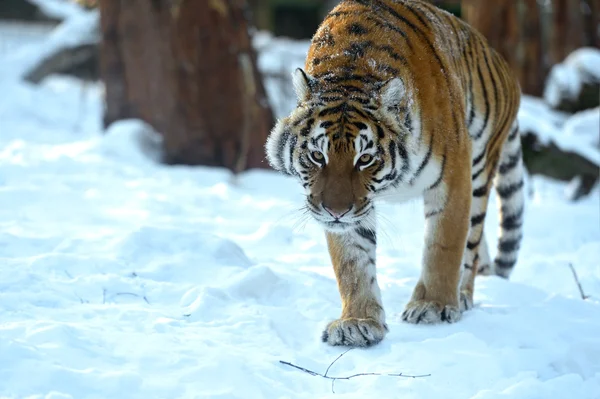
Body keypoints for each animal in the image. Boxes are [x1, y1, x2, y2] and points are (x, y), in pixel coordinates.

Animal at [264, 0, 524, 346]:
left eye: (365, 158)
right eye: (317, 155)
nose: (335, 211)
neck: (349, 68)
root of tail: (500, 62)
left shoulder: (454, 175)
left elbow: (444, 245)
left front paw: (433, 306)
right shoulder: (351, 212)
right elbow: (352, 262)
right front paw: (358, 322)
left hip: (481, 166)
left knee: (471, 240)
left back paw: (462, 295)